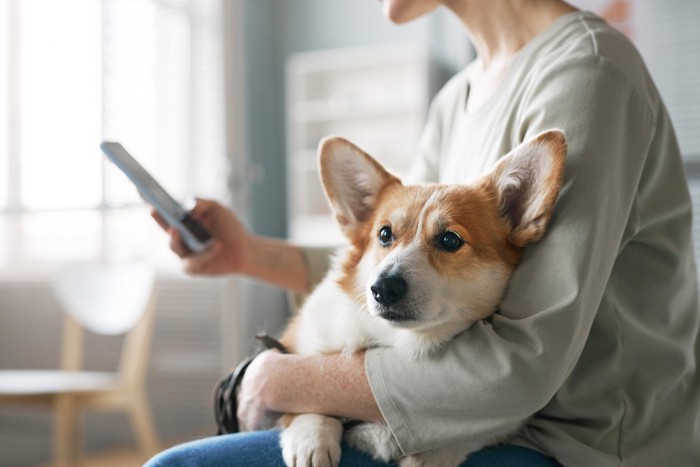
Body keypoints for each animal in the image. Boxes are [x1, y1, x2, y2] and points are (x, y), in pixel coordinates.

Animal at [276, 131, 568, 467]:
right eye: (385, 234)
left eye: (450, 240)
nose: (382, 288)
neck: (399, 341)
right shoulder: (297, 345)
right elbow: (306, 397)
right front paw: (312, 438)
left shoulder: (507, 421)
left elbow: (464, 438)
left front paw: (427, 457)